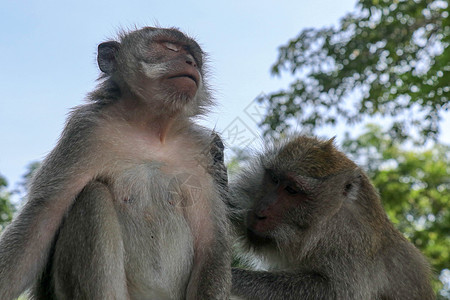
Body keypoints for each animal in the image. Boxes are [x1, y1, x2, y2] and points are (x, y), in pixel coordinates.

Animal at [0, 27, 230, 298]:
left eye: (194, 55)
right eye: (169, 47)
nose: (191, 62)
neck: (151, 130)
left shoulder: (203, 149)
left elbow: (211, 241)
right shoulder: (86, 131)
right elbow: (42, 219)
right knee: (93, 196)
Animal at [229, 135, 436, 300]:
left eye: (291, 190)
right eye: (274, 179)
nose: (260, 211)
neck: (328, 216)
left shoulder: (348, 242)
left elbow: (336, 292)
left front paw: (236, 279)